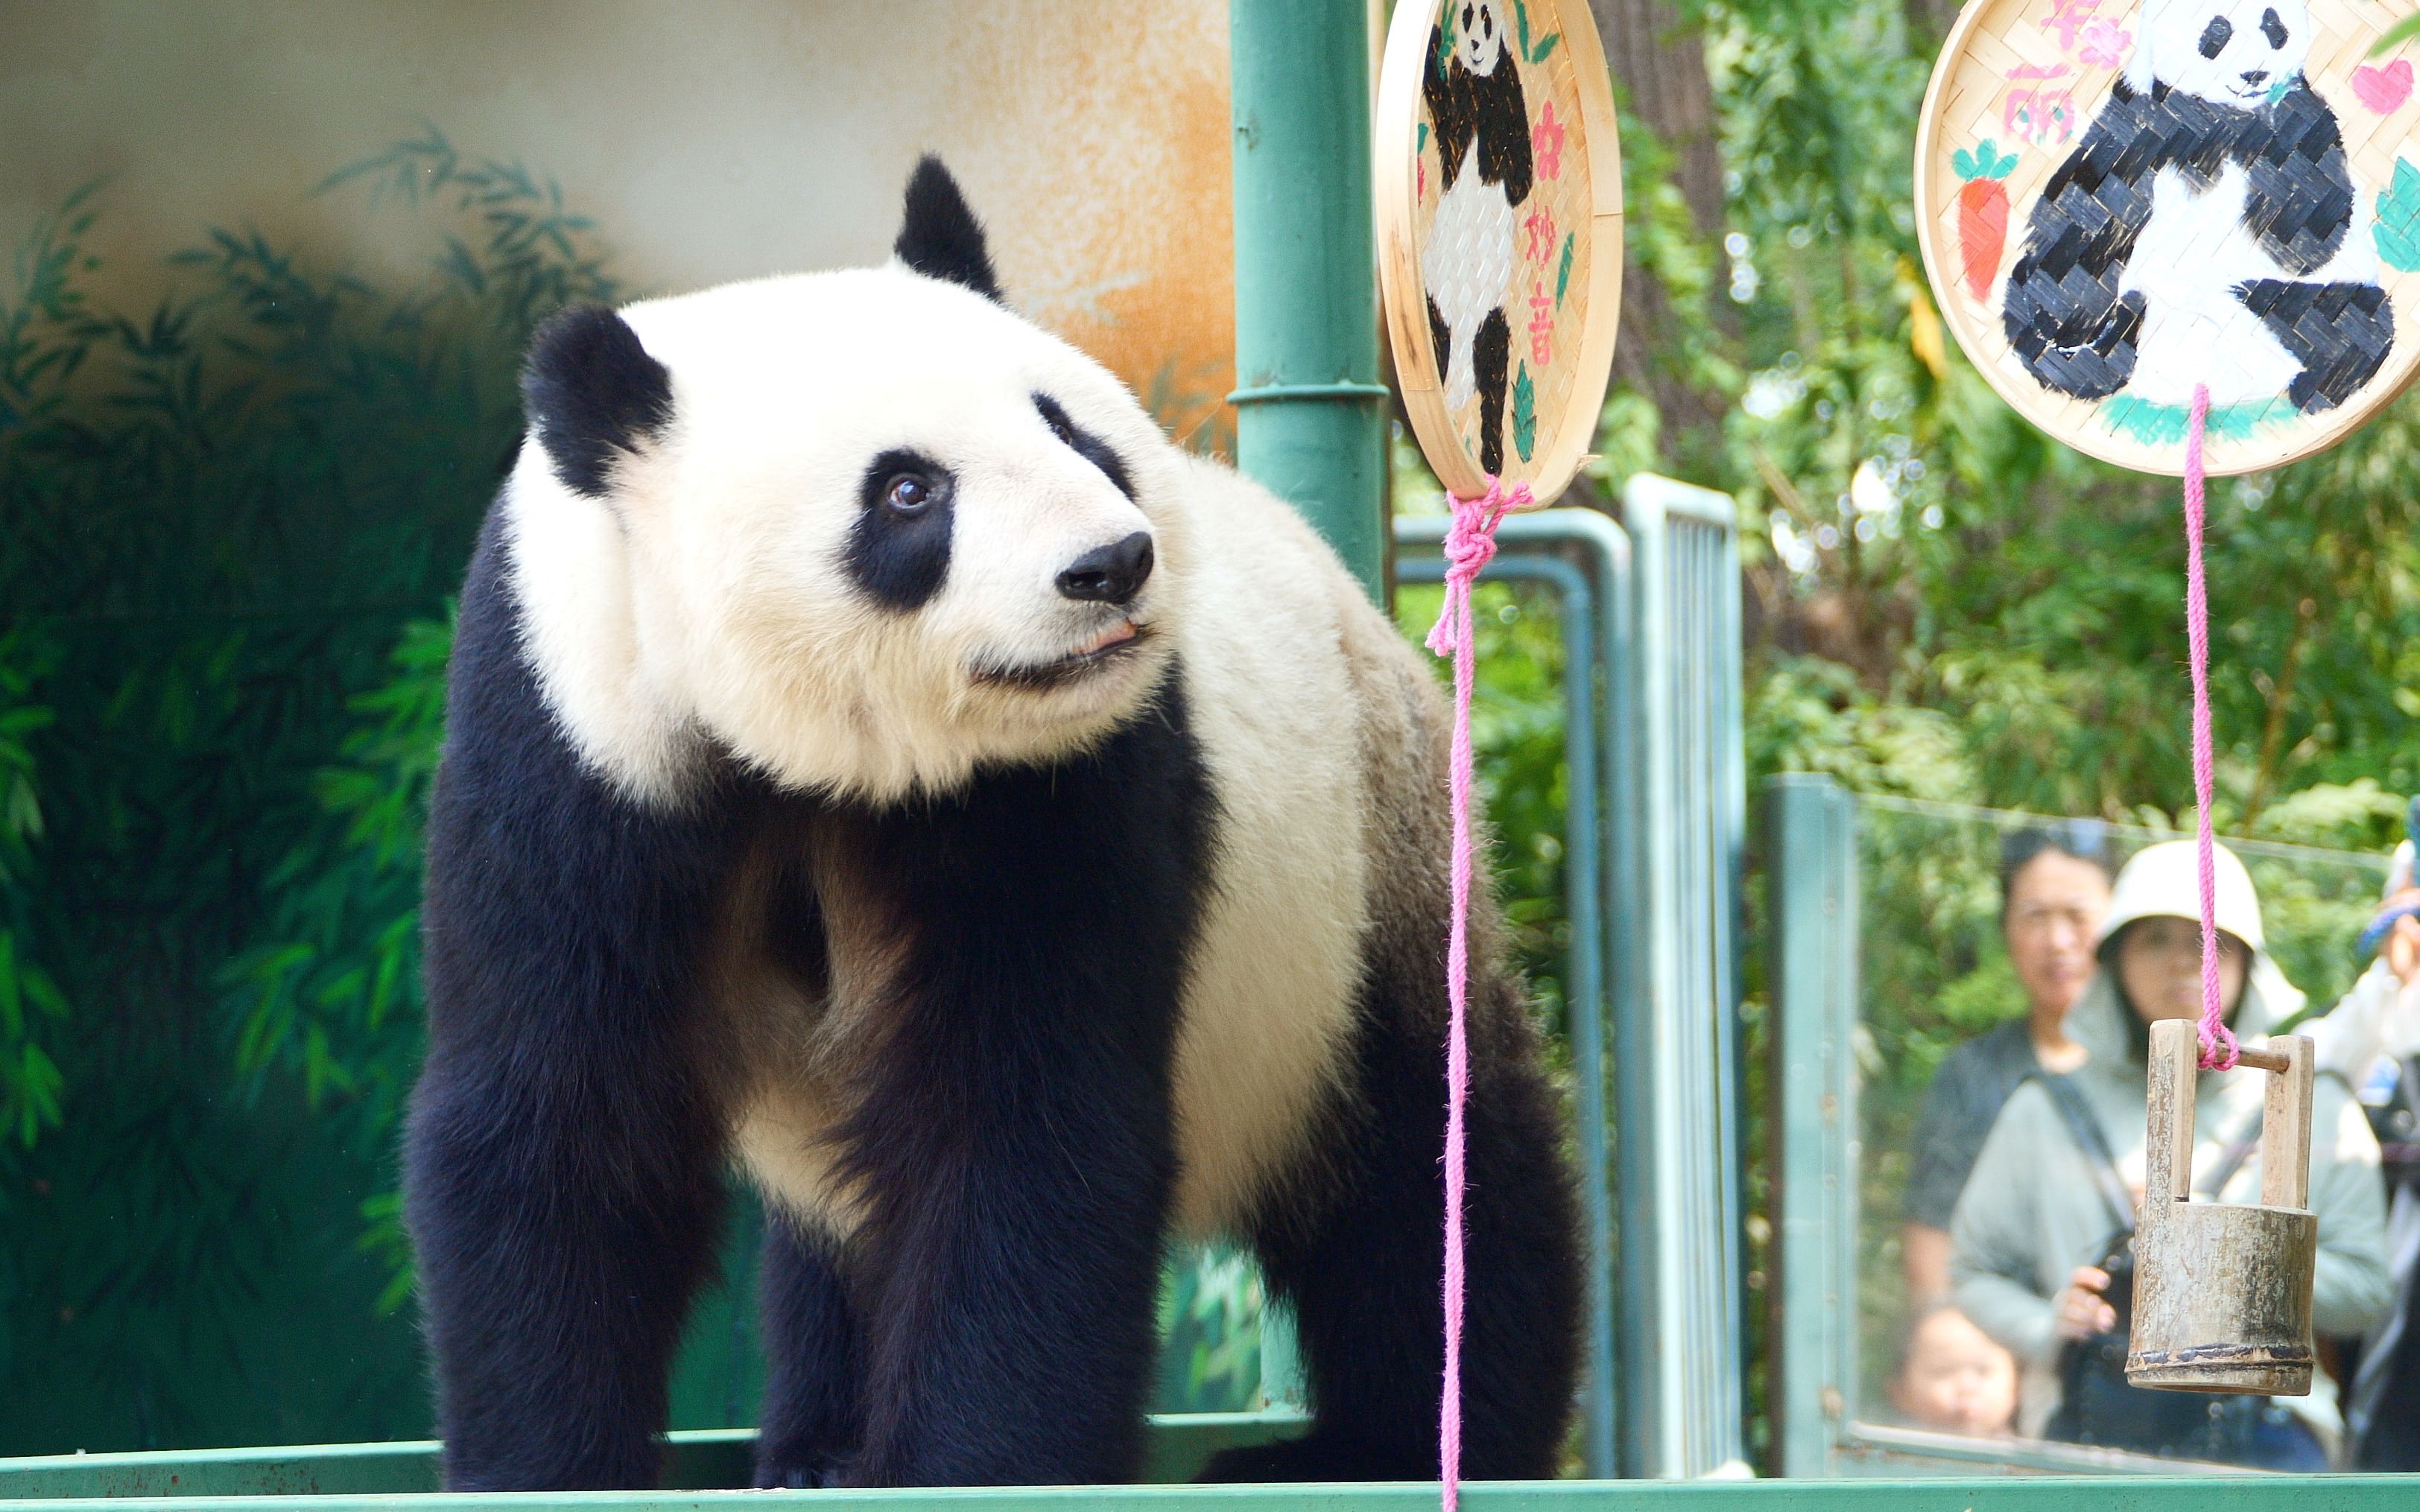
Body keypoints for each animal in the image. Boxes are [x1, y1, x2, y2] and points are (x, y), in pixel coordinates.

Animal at [406, 159, 1587, 1490]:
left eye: (1069, 428)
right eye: (908, 490)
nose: (1111, 564)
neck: (820, 759)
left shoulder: (1058, 789)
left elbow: (1022, 1140)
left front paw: (973, 1459)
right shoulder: (577, 750)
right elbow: (560, 1127)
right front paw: (553, 1461)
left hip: (1356, 872)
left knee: (1427, 1161)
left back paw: (1389, 1440)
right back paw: (820, 1442)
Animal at [1994, 0, 2391, 418]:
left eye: (2273, 25)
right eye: (2218, 31)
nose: (2255, 74)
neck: (2222, 117)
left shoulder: (2300, 121)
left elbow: (2313, 227)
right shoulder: (2138, 121)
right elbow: (2080, 213)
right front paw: (2071, 313)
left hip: (2318, 301)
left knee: (2345, 320)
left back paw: (2314, 387)